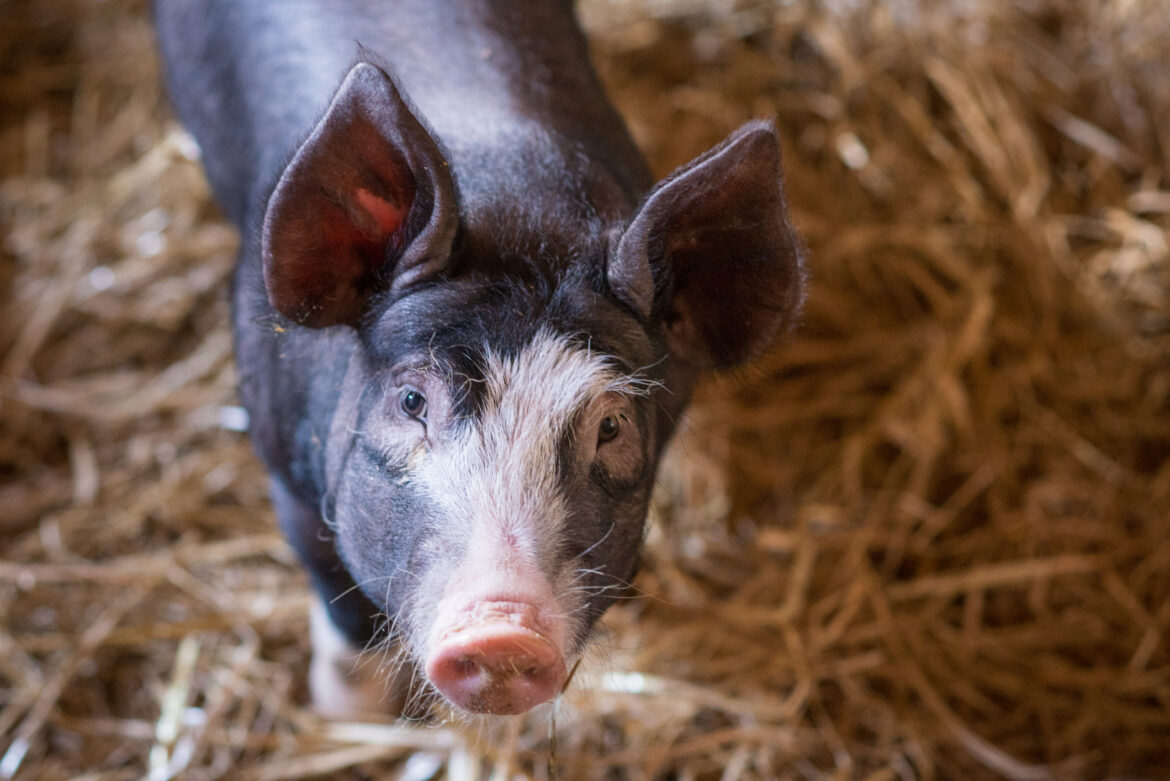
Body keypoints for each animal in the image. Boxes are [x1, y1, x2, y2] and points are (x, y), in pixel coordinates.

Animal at [154, 0, 805, 716]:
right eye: (412, 400)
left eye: (611, 426)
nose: (502, 634)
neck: (525, 212)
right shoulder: (284, 471)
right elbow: (342, 604)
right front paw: (348, 715)